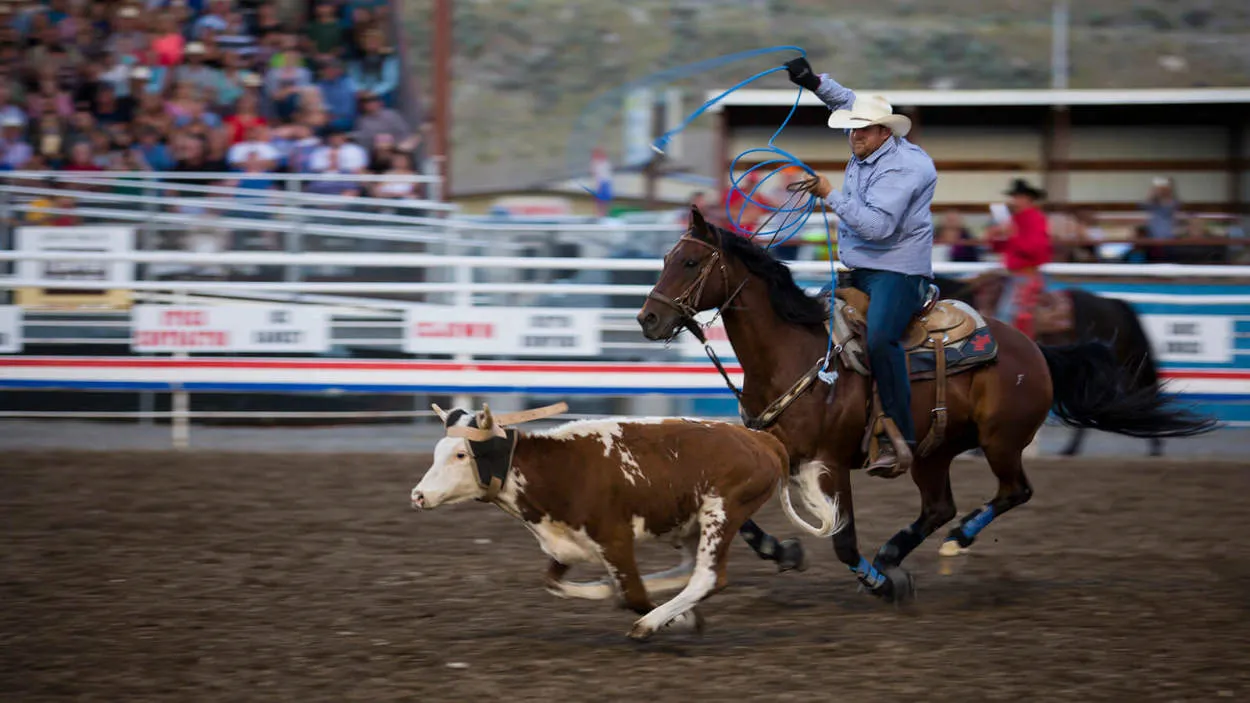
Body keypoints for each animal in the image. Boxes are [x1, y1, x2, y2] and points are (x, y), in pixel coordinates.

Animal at [410, 402, 840, 637]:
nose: (418, 495)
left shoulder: (614, 538)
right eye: (437, 452)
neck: (555, 469)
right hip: (689, 523)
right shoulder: (567, 544)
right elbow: (555, 583)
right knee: (687, 570)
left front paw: (675, 621)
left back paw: (652, 622)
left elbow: (633, 593)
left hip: (722, 512)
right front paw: (610, 593)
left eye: (461, 455)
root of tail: (762, 439)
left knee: (706, 577)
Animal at [640, 206, 1215, 595]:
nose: (648, 318)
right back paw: (896, 549)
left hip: (1000, 440)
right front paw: (782, 550)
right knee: (940, 505)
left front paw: (879, 585)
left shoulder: (832, 462)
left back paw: (953, 542)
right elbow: (736, 516)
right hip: (933, 450)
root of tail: (1033, 348)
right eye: (666, 257)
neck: (796, 354)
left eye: (689, 261)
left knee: (1013, 491)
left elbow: (843, 539)